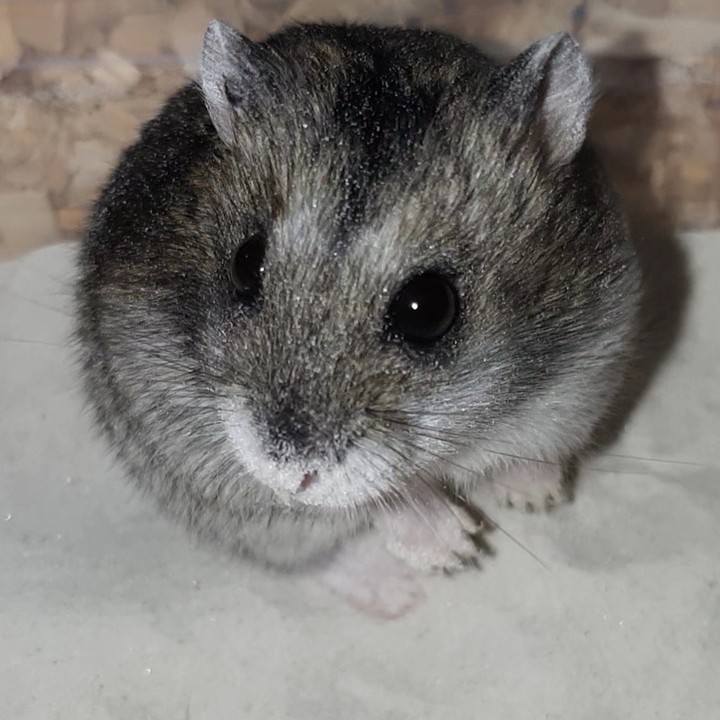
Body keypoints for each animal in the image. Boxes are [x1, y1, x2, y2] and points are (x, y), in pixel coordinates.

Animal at [74, 20, 641, 580]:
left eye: (427, 309)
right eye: (244, 265)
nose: (287, 473)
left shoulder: (586, 374)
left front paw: (536, 497)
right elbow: (377, 501)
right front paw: (458, 546)